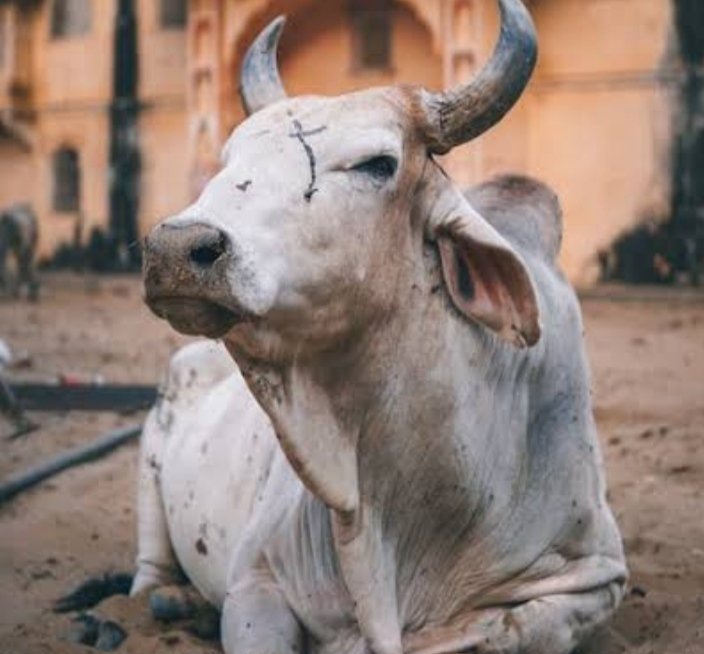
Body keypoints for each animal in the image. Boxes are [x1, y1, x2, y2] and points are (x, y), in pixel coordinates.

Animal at [136, 2, 627, 653]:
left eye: (376, 164)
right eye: (228, 161)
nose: (175, 248)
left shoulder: (596, 576)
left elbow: (512, 629)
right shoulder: (257, 582)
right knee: (148, 565)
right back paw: (165, 598)